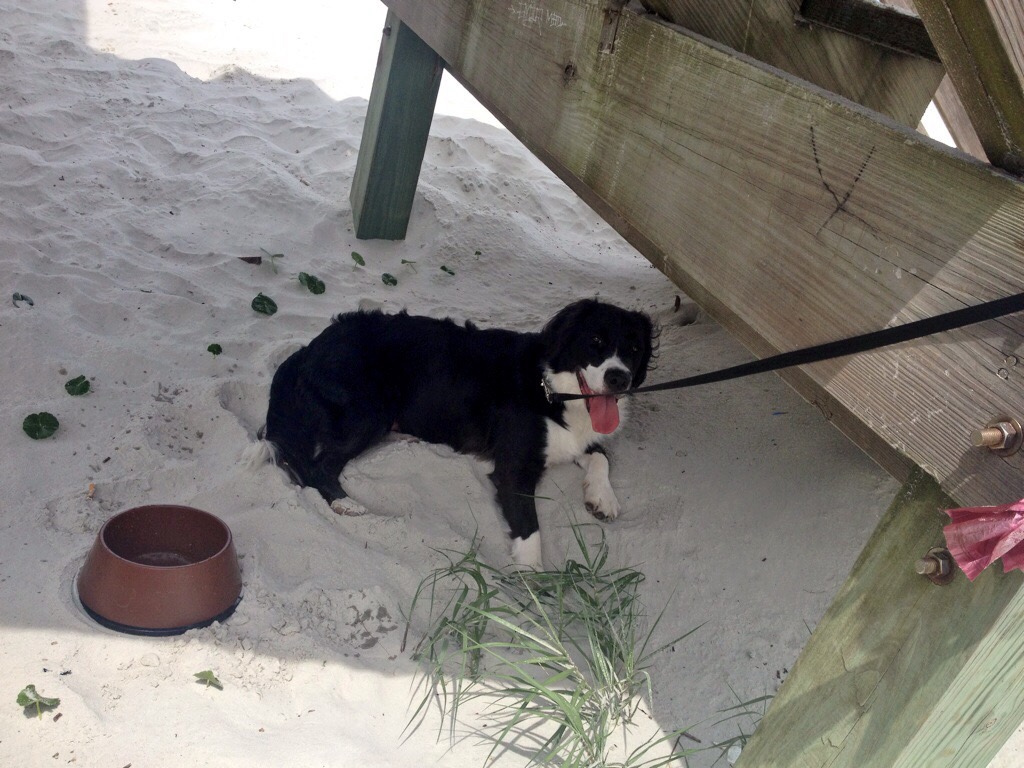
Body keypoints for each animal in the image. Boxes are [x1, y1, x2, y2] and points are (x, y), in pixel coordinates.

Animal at [257, 299, 655, 569]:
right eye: (595, 341)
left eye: (635, 349)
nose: (619, 378)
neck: (553, 388)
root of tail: (308, 348)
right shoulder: (514, 468)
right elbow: (530, 527)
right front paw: (534, 585)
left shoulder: (575, 439)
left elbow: (601, 455)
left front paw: (603, 497)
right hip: (370, 410)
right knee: (316, 466)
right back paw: (345, 502)